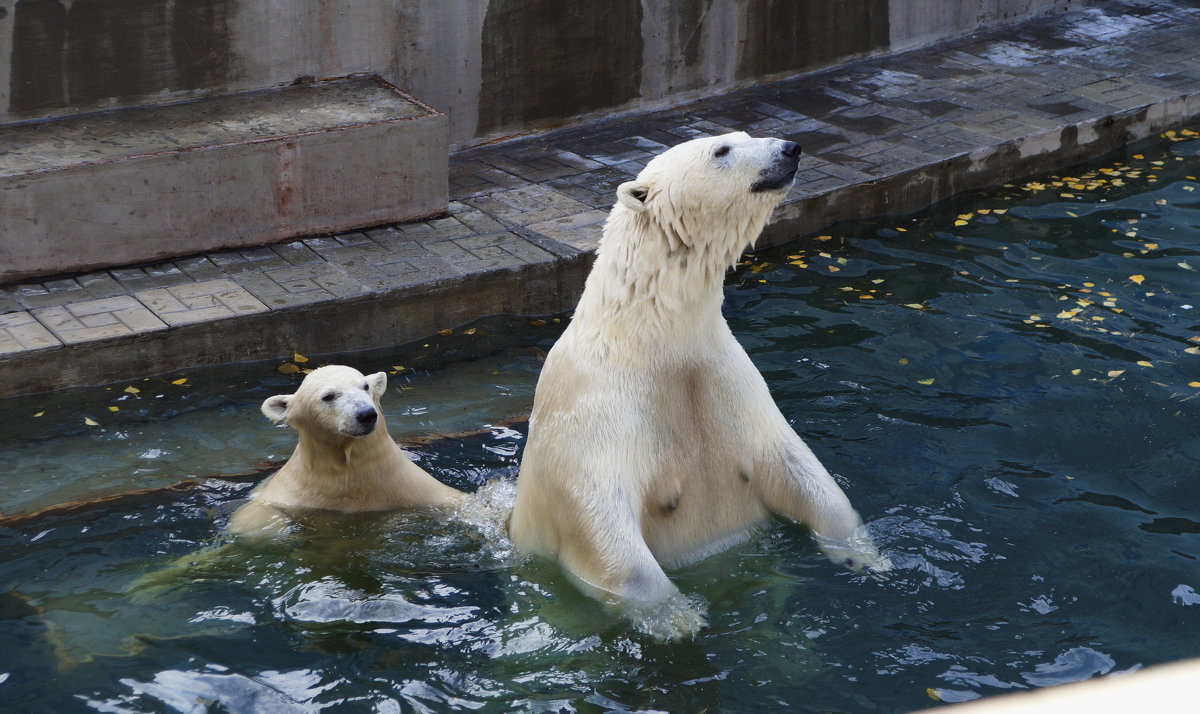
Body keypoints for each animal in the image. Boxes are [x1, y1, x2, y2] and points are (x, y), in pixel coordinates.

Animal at [504, 131, 883, 633]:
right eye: (722, 150)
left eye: (745, 135)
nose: (790, 149)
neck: (654, 339)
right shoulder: (595, 404)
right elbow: (602, 520)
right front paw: (679, 617)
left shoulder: (727, 379)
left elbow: (797, 466)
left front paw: (863, 555)